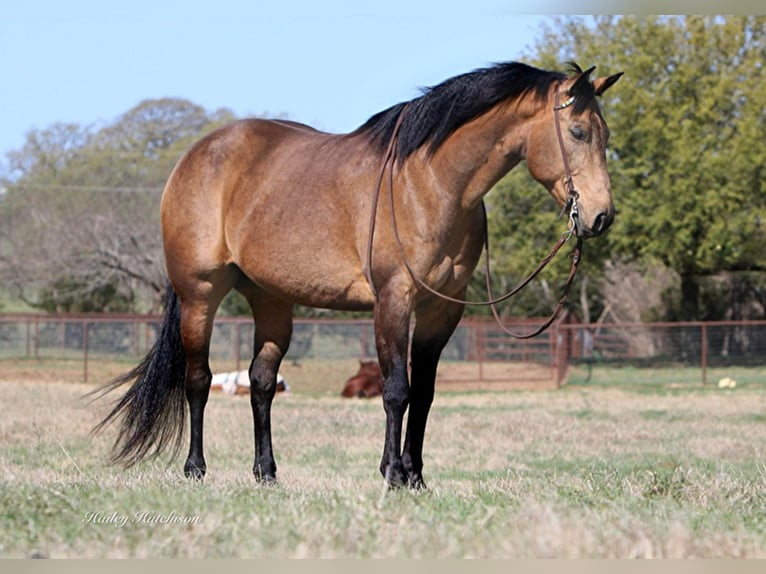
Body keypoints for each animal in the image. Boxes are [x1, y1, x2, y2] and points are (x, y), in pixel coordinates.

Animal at [94, 59, 624, 490]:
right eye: (578, 132)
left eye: (607, 135)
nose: (600, 217)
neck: (429, 184)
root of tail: (197, 154)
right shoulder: (394, 300)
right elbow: (396, 391)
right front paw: (392, 474)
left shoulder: (441, 310)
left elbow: (424, 394)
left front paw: (416, 476)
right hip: (200, 295)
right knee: (198, 380)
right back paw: (195, 469)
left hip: (271, 300)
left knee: (261, 382)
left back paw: (266, 473)